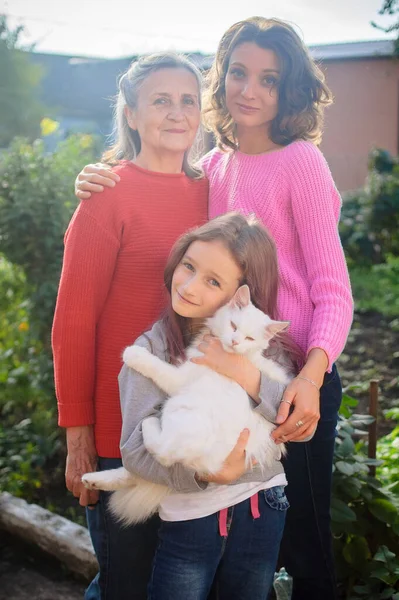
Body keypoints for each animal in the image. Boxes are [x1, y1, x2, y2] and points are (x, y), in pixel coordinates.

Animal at [83, 284, 292, 524]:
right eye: (233, 326)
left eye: (249, 338)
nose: (235, 342)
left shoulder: (180, 379)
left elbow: (156, 366)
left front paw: (132, 353)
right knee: (134, 472)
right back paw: (92, 480)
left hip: (179, 406)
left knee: (163, 452)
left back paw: (148, 426)